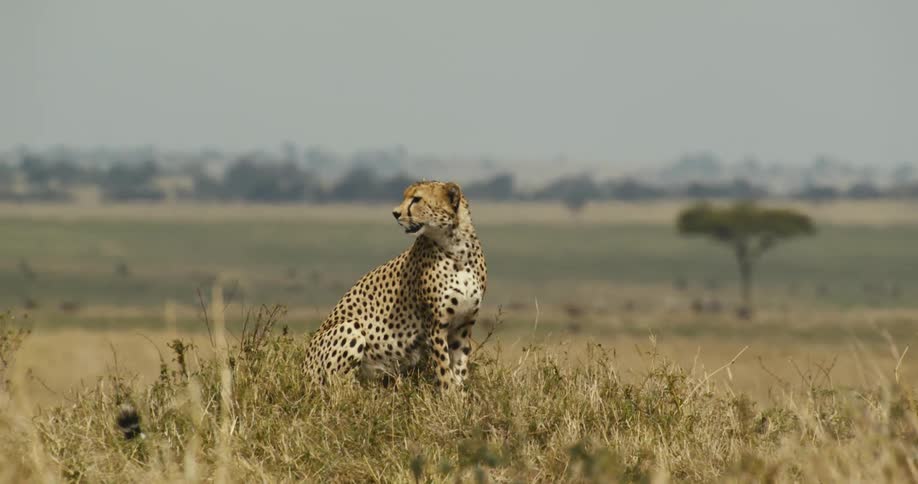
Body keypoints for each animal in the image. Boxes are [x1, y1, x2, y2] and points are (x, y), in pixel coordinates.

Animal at [303, 180, 487, 390]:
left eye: (417, 199)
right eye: (406, 196)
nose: (395, 213)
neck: (457, 249)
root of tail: (303, 370)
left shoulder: (462, 326)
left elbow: (460, 370)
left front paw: (460, 396)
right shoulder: (435, 327)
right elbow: (444, 371)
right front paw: (449, 395)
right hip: (350, 328)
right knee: (338, 384)